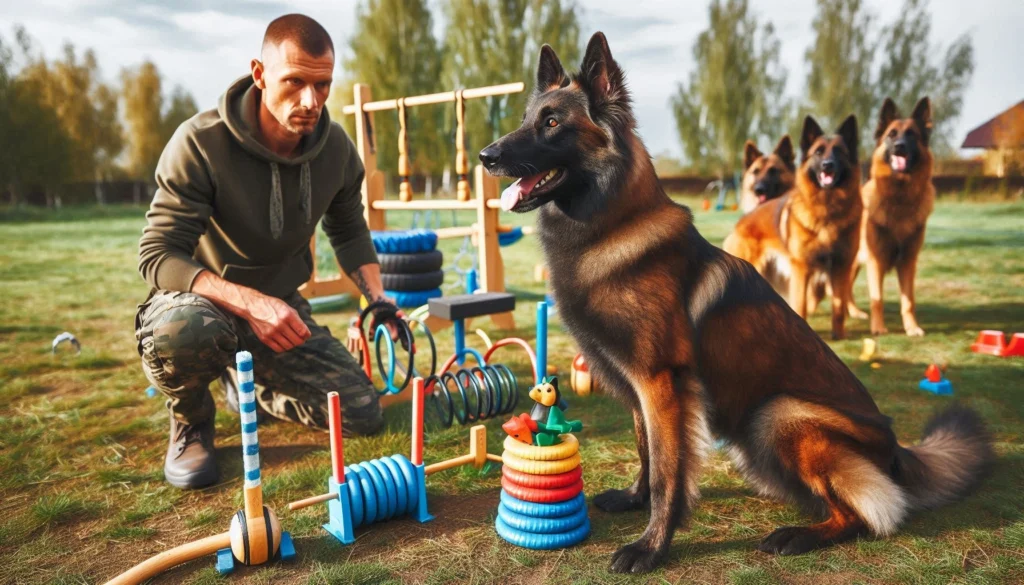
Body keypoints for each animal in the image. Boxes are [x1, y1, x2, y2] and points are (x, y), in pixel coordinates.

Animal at [729, 115, 864, 340]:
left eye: (839, 151)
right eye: (818, 152)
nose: (828, 165)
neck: (827, 210)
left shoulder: (840, 267)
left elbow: (838, 307)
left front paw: (838, 336)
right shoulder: (802, 269)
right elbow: (800, 306)